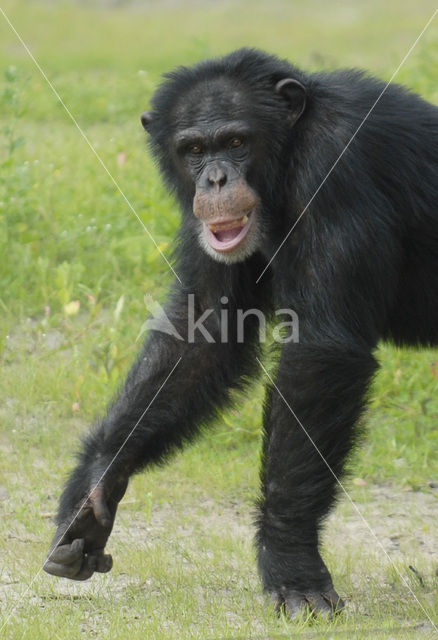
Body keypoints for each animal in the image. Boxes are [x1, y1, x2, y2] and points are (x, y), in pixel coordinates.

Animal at [44, 48, 438, 620]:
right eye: (193, 149)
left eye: (235, 142)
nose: (214, 180)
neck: (288, 155)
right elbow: (204, 335)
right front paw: (96, 484)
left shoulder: (336, 165)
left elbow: (319, 353)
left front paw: (291, 559)